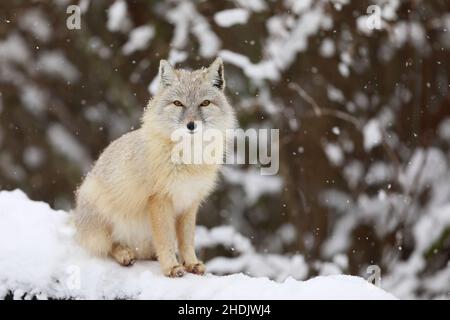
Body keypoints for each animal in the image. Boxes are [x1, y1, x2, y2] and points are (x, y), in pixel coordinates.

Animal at [72, 58, 236, 278]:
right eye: (178, 103)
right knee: (108, 246)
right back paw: (125, 253)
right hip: (102, 214)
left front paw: (191, 263)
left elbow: (186, 241)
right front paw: (171, 267)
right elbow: (165, 239)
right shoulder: (159, 199)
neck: (188, 161)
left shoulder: (189, 202)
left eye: (205, 103)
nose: (191, 125)